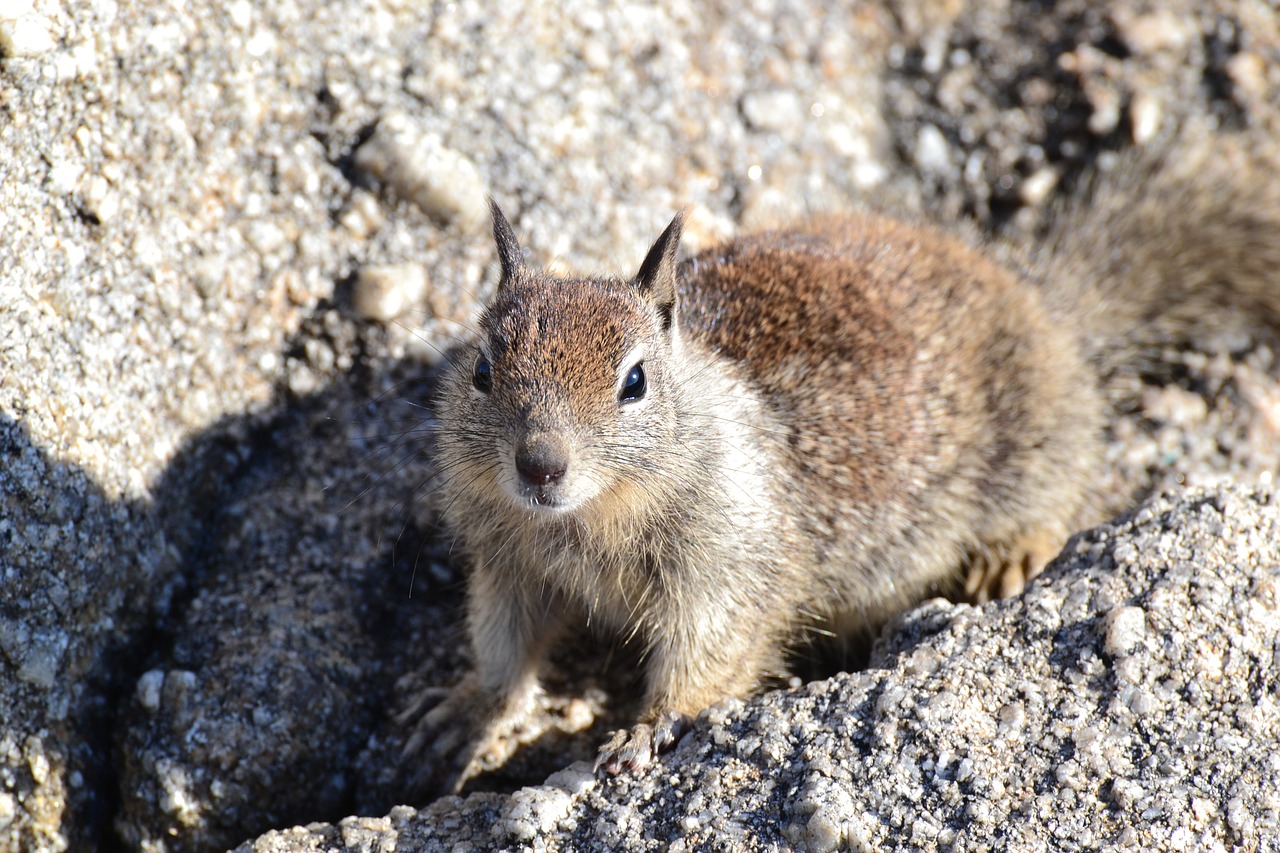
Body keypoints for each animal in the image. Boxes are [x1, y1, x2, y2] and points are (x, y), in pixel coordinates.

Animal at [399, 134, 1280, 799]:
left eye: (636, 381)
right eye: (482, 369)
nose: (539, 465)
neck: (587, 521)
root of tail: (1044, 298)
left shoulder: (728, 564)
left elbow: (711, 651)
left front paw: (644, 729)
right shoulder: (511, 564)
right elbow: (504, 644)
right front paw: (465, 708)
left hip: (1036, 438)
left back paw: (1009, 555)